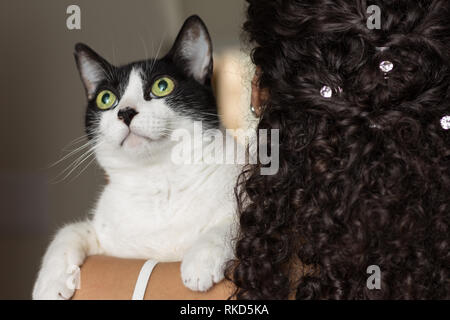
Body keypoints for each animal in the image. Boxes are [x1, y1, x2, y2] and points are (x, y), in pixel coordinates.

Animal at [32, 15, 243, 300]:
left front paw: (201, 260)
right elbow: (69, 231)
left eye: (162, 86)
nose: (126, 112)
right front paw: (49, 282)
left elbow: (234, 220)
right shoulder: (105, 237)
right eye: (106, 98)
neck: (157, 179)